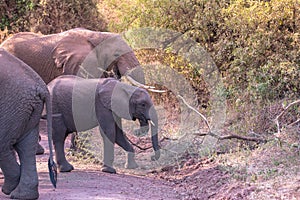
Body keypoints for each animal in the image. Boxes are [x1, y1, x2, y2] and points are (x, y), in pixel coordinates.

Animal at [0, 48, 56, 200]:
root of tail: (42, 87)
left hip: (13, 106)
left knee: (3, 145)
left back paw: (10, 190)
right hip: (25, 107)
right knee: (26, 147)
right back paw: (21, 194)